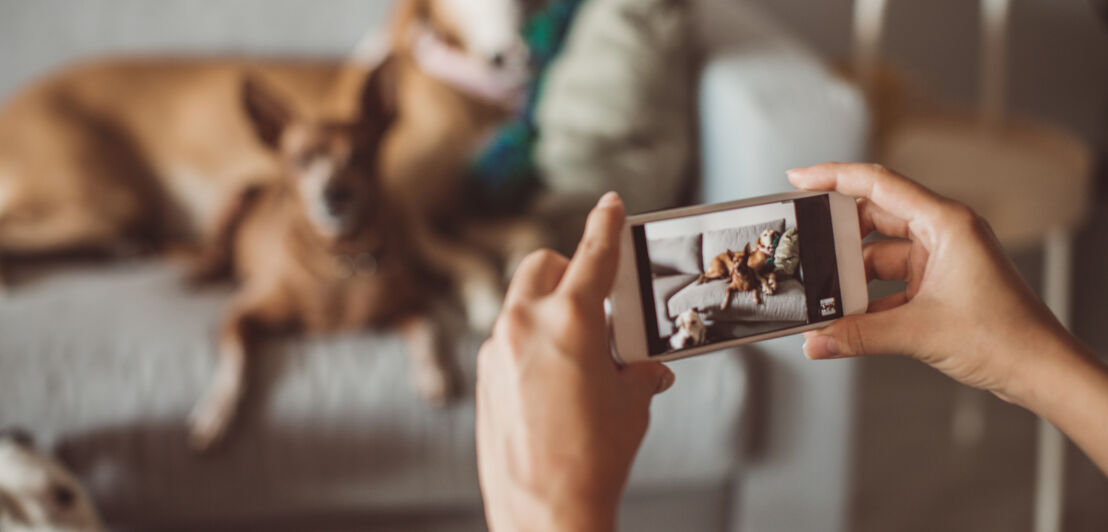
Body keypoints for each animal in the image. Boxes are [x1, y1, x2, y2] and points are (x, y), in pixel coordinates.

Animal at [186, 63, 458, 452]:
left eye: (361, 155)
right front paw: (215, 411)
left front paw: (434, 374)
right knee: (214, 251)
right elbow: (233, 363)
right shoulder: (240, 315)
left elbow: (429, 331)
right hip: (234, 198)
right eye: (302, 159)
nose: (335, 194)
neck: (342, 257)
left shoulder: (409, 304)